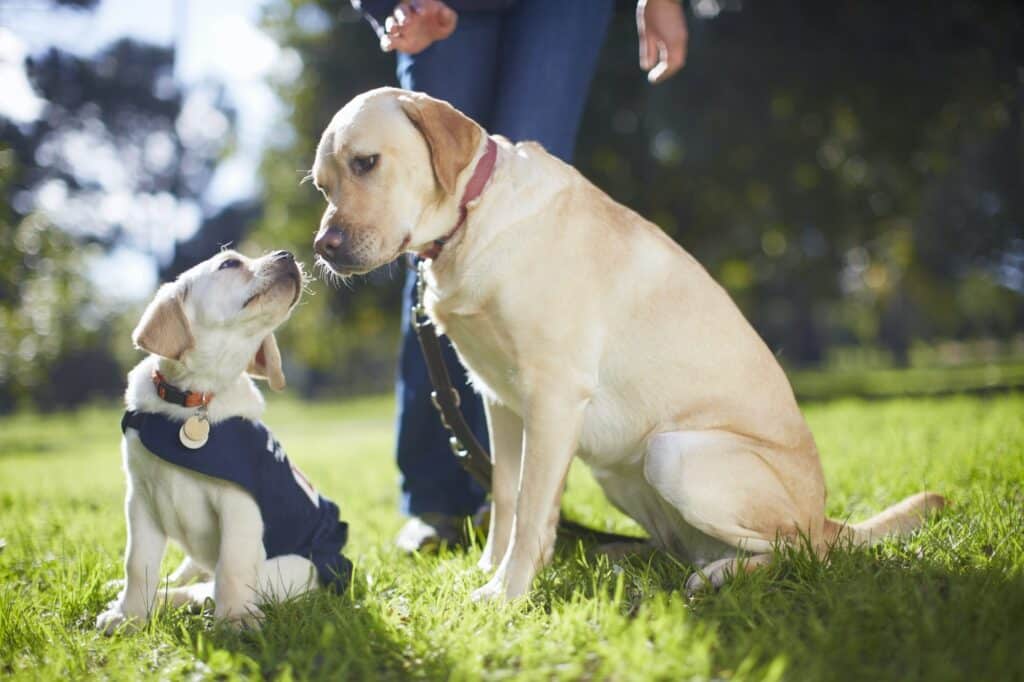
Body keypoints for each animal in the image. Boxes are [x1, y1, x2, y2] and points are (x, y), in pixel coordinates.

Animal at [309, 86, 942, 602]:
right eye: (322, 185)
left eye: (366, 163)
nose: (322, 247)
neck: (474, 218)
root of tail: (828, 517)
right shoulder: (497, 400)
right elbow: (508, 499)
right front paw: (490, 570)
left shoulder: (553, 397)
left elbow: (531, 507)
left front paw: (507, 593)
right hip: (619, 470)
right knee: (689, 545)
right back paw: (627, 557)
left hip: (675, 454)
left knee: (801, 550)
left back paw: (714, 576)